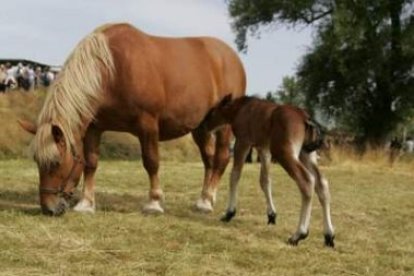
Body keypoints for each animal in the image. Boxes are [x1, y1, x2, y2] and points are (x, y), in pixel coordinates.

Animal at [18, 23, 246, 216]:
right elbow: (91, 162)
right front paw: (86, 203)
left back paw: (207, 201)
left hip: (224, 126)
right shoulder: (94, 127)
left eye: (56, 162)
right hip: (200, 126)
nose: (48, 208)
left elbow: (151, 162)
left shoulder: (148, 125)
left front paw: (154, 202)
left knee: (221, 158)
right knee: (208, 159)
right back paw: (204, 199)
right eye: (37, 161)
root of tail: (232, 58)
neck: (113, 69)